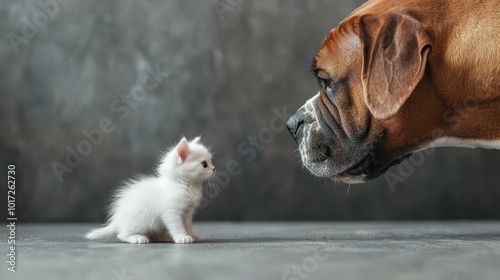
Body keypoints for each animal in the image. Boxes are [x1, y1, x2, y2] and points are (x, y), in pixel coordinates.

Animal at [86, 137, 215, 244]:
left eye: (211, 161)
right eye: (204, 164)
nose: (214, 169)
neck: (186, 184)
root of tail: (118, 218)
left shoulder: (188, 212)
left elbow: (187, 225)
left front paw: (191, 235)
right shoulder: (171, 212)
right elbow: (177, 226)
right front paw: (182, 237)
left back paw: (164, 237)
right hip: (138, 221)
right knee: (121, 235)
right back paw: (137, 238)